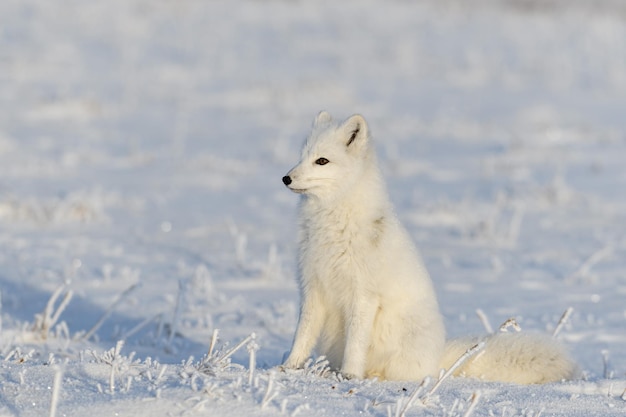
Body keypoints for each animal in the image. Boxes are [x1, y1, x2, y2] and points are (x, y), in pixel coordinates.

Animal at [280, 110, 576, 384]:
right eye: (302, 157)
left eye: (322, 161)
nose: (286, 178)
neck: (330, 225)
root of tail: (437, 360)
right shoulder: (312, 288)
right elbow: (301, 335)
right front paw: (287, 368)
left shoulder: (363, 295)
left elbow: (355, 343)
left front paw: (350, 375)